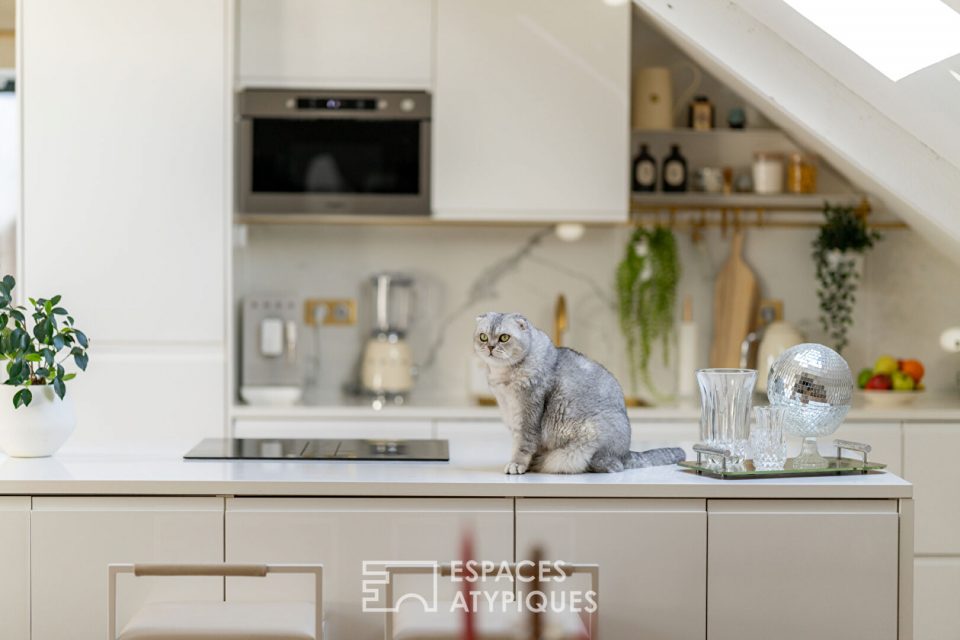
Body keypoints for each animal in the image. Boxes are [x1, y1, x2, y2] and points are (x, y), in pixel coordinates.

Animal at [470, 312, 684, 472]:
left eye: (504, 337)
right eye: (483, 336)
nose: (490, 346)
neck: (504, 377)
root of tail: (626, 452)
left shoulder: (528, 414)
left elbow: (523, 445)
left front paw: (516, 465)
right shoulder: (513, 416)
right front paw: (526, 465)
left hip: (591, 438)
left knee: (612, 466)